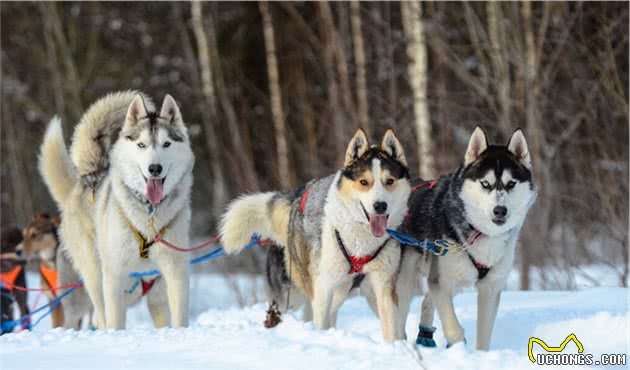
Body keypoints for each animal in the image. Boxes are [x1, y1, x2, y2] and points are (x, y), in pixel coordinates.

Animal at [39, 91, 194, 328]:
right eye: (141, 145)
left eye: (166, 144)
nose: (154, 169)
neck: (148, 214)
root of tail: (87, 178)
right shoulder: (114, 276)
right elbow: (114, 322)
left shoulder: (174, 273)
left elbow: (178, 319)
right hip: (94, 279)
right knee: (99, 316)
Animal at [222, 129, 414, 340]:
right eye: (364, 182)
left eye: (389, 181)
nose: (380, 206)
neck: (360, 243)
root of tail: (297, 197)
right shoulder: (324, 286)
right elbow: (320, 319)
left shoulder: (384, 286)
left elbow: (391, 330)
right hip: (295, 293)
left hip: (345, 290)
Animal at [402, 126, 536, 350]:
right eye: (485, 184)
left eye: (510, 184)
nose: (500, 210)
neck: (481, 233)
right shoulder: (442, 282)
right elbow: (453, 329)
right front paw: (458, 347)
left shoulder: (490, 288)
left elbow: (484, 335)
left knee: (426, 301)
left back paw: (425, 336)